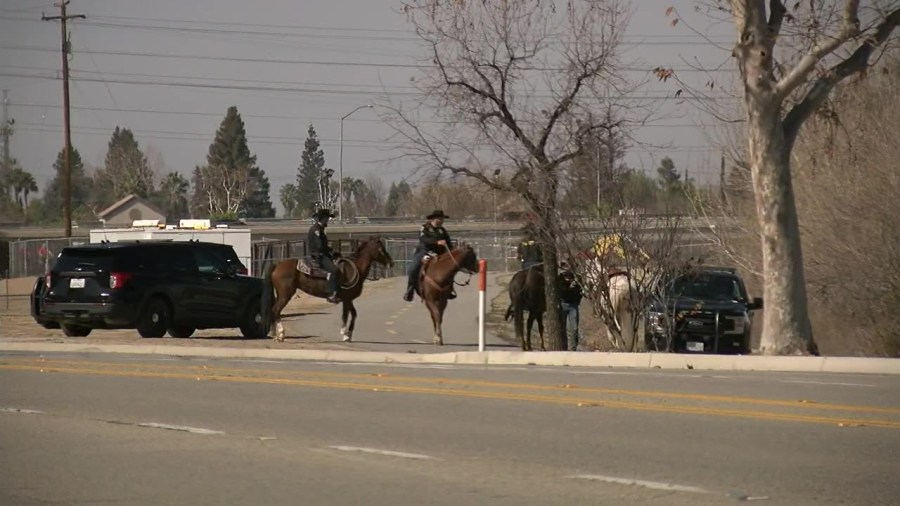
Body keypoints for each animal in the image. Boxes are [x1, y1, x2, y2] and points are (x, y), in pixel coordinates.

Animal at [256, 235, 390, 342]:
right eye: (381, 249)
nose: (391, 263)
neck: (354, 269)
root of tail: (277, 265)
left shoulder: (349, 299)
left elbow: (353, 314)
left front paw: (349, 334)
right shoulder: (346, 299)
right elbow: (345, 315)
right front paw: (344, 335)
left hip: (280, 294)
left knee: (273, 310)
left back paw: (275, 334)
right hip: (286, 295)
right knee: (276, 310)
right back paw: (281, 335)